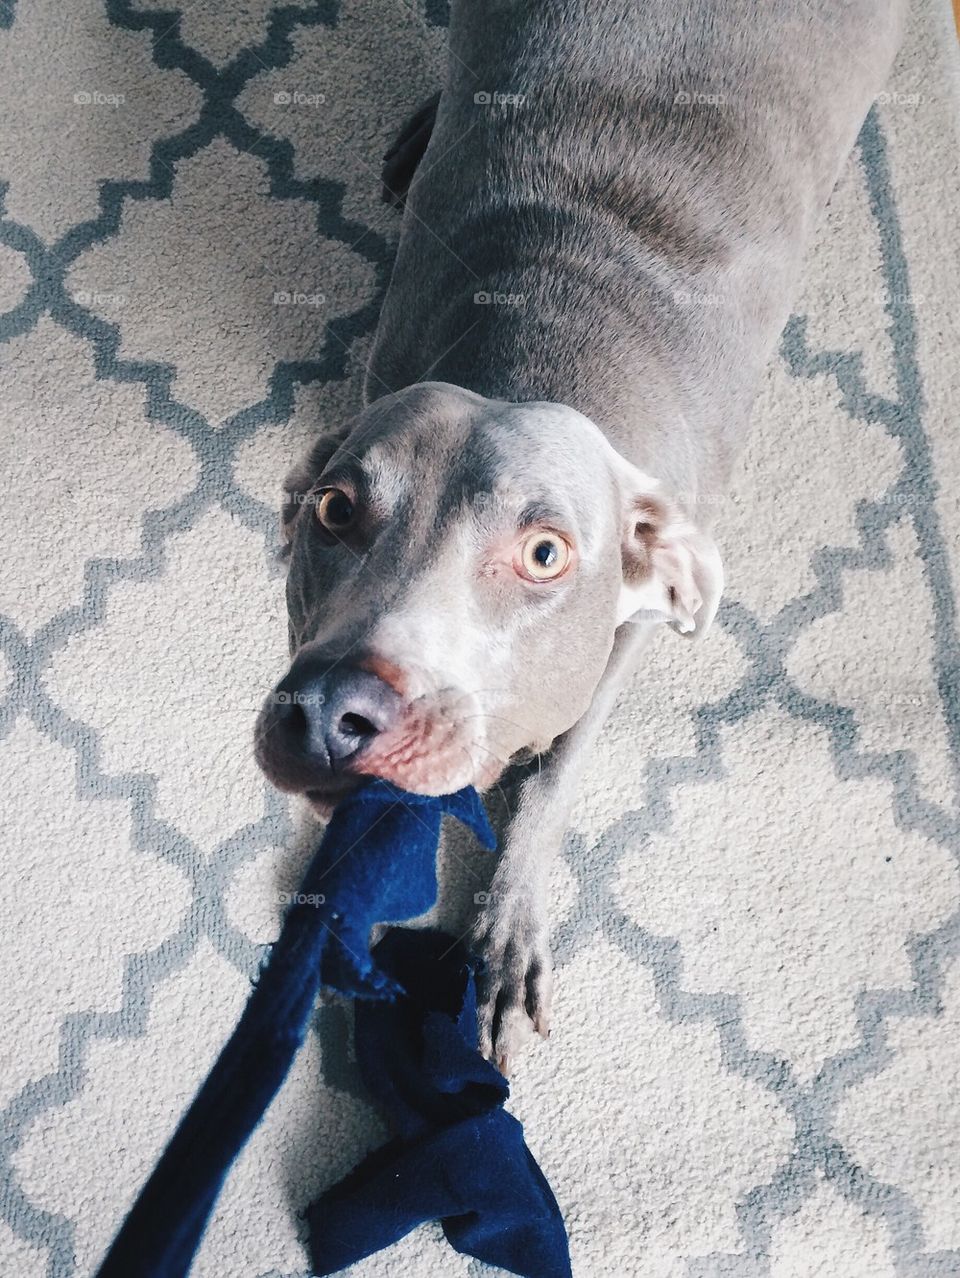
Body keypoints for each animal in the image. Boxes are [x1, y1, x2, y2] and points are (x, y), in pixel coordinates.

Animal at [255, 0, 910, 1073]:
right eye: (335, 511)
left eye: (545, 554)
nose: (325, 712)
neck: (542, 338)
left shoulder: (631, 626)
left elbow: (558, 770)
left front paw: (506, 929)